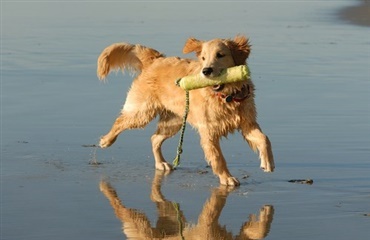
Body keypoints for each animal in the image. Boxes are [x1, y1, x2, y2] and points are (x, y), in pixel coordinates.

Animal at [97, 35, 274, 186]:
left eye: (220, 55)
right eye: (203, 58)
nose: (206, 71)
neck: (227, 97)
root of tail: (156, 59)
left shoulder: (247, 123)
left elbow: (264, 139)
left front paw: (268, 162)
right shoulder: (208, 131)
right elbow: (218, 158)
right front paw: (227, 178)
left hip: (173, 121)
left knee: (154, 138)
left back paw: (161, 163)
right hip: (142, 112)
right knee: (120, 121)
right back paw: (106, 141)